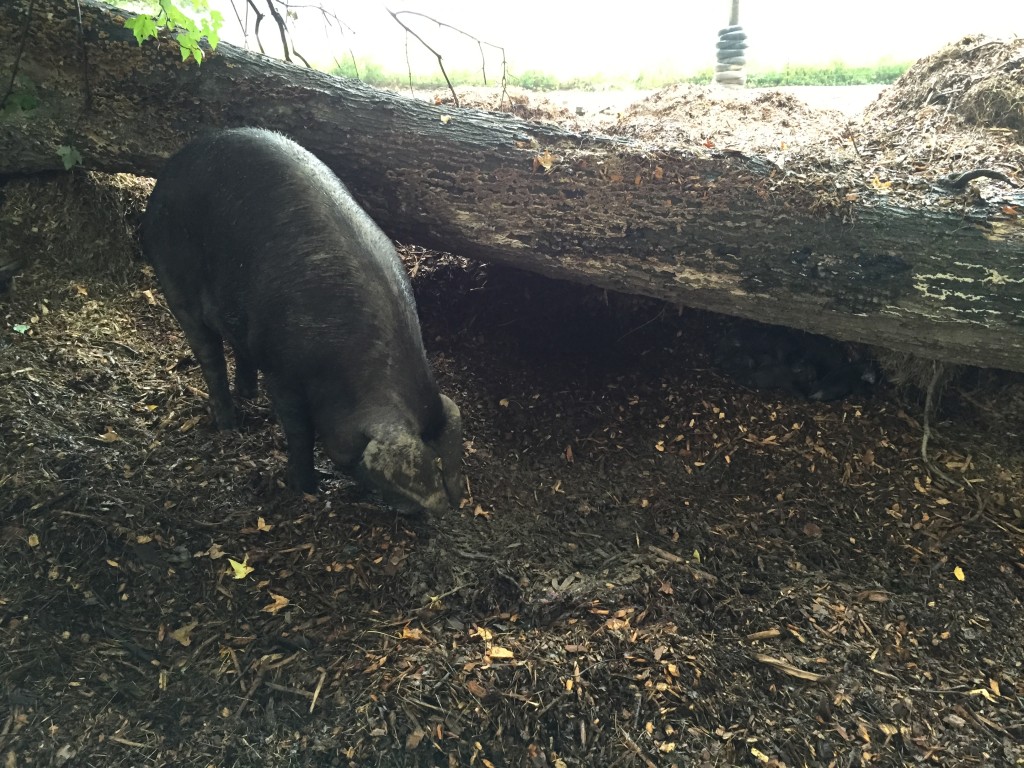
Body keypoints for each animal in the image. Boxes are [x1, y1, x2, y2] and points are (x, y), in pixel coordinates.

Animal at [142, 129, 462, 514]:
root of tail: (166, 176)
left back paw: (250, 397)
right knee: (209, 357)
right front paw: (306, 489)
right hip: (176, 282)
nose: (436, 509)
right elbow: (299, 431)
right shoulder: (282, 368)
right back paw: (229, 426)